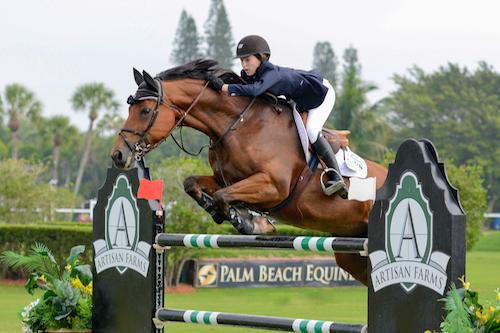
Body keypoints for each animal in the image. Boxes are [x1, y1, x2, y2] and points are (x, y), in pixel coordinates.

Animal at [111, 59, 388, 282]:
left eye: (145, 111)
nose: (118, 155)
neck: (239, 125)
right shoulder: (227, 179)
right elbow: (194, 184)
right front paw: (229, 214)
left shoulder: (273, 186)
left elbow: (224, 196)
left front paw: (249, 222)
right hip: (350, 254)